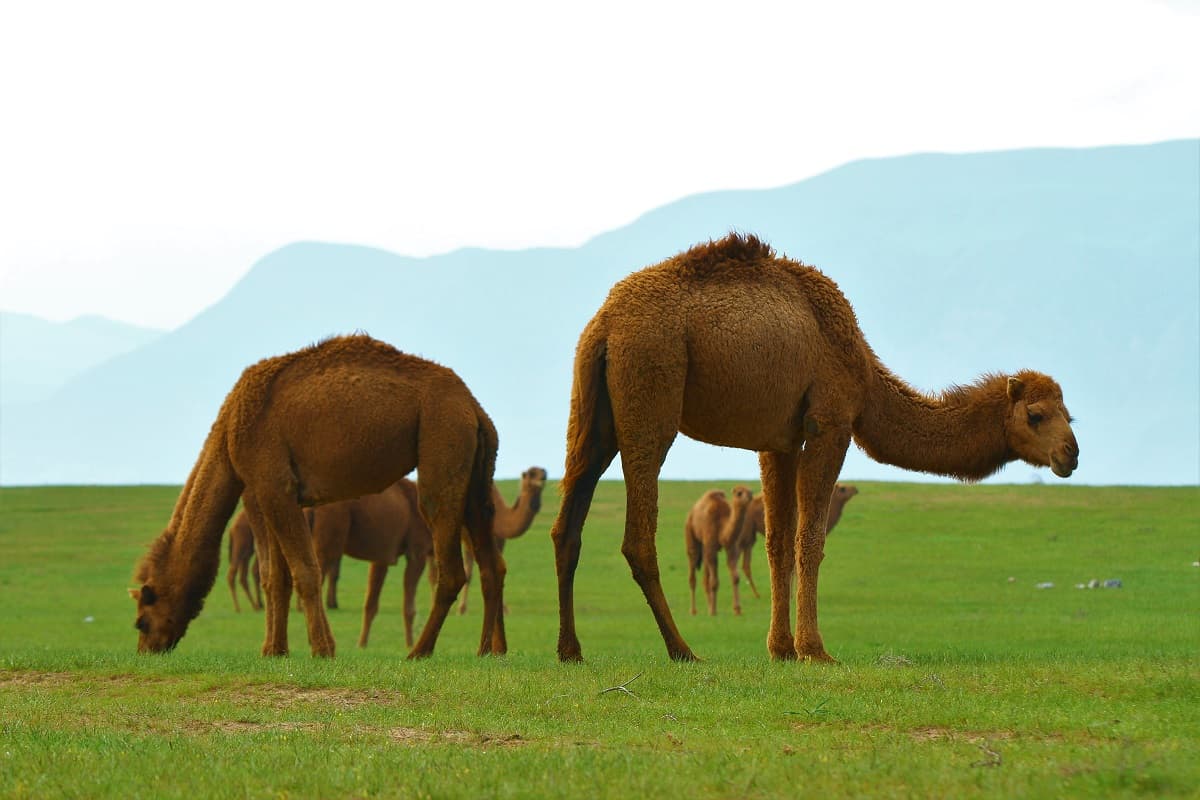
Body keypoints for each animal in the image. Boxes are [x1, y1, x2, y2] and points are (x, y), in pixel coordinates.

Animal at [130, 333, 507, 659]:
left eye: (142, 621)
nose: (146, 650)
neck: (228, 434)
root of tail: (475, 408)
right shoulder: (264, 493)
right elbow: (275, 577)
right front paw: (274, 651)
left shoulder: (274, 485)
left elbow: (304, 572)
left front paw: (323, 649)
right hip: (475, 476)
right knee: (492, 563)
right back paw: (491, 650)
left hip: (441, 442)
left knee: (452, 567)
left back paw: (418, 652)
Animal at [684, 485, 753, 616]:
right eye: (739, 493)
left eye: (750, 490)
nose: (750, 496)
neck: (722, 523)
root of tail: (691, 512)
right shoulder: (711, 546)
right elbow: (715, 582)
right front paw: (713, 611)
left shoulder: (731, 547)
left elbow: (735, 577)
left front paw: (737, 609)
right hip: (691, 535)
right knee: (693, 568)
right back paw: (693, 610)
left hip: (704, 548)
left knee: (705, 578)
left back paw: (708, 605)